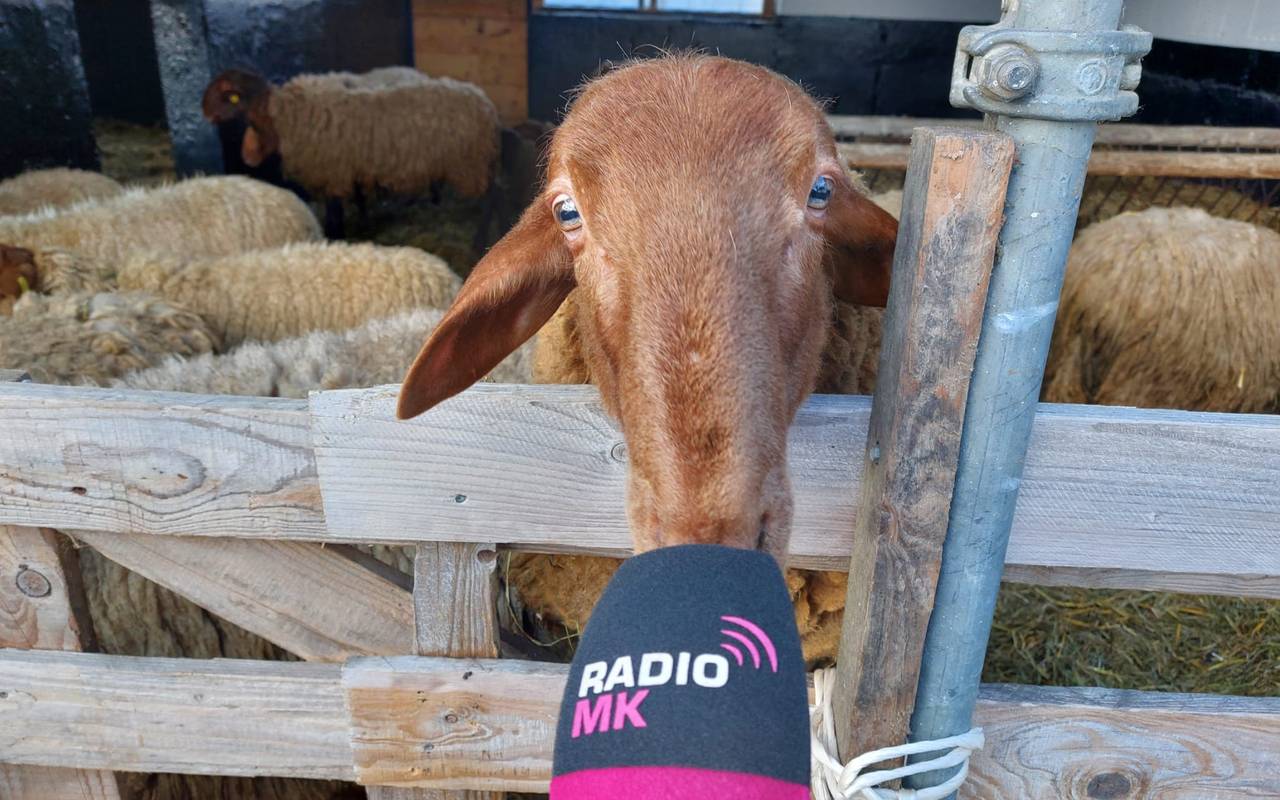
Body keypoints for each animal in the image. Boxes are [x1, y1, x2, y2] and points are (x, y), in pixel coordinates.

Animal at [202, 66, 500, 236]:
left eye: (224, 96)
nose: (203, 112)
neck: (283, 115)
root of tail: (484, 101)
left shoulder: (333, 172)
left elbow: (335, 213)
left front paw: (337, 235)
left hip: (471, 162)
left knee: (486, 197)